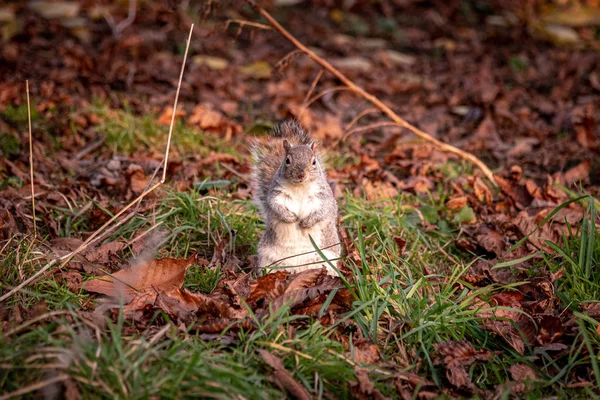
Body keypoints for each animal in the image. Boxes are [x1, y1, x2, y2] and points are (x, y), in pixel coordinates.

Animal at [250, 119, 342, 276]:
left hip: (326, 259)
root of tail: (298, 269)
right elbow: (275, 207)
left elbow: (322, 211)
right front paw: (290, 218)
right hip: (268, 260)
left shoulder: (324, 198)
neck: (300, 187)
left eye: (314, 161)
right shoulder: (276, 195)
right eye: (287, 160)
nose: (300, 174)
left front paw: (307, 222)